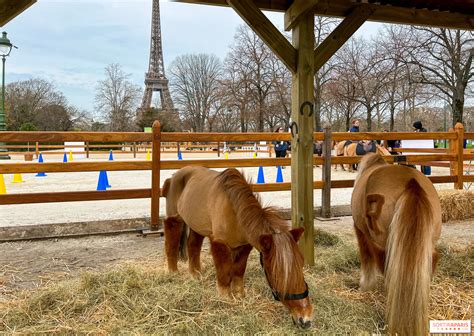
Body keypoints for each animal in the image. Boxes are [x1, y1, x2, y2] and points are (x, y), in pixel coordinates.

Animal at [163, 167, 314, 330]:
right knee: (172, 242)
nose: (305, 319)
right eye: (276, 272)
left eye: (300, 264)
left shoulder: (244, 246)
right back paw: (173, 272)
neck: (234, 212)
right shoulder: (220, 244)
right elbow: (224, 273)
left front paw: (239, 295)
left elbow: (239, 269)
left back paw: (196, 274)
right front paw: (225, 298)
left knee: (193, 246)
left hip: (197, 225)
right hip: (174, 218)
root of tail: (174, 176)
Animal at [350, 154, 442, 334]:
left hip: (381, 243)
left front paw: (365, 286)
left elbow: (366, 258)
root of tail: (411, 182)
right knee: (433, 260)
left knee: (386, 267)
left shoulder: (360, 231)